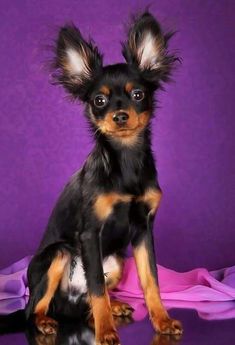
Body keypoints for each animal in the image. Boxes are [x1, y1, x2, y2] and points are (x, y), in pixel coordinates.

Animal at [26, 11, 184, 344]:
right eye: (99, 100)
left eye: (138, 95)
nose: (120, 116)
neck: (126, 159)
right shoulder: (90, 234)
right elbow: (97, 287)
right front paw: (106, 332)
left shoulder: (143, 230)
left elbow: (151, 280)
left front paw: (162, 320)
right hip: (59, 254)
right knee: (37, 306)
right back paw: (47, 321)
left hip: (118, 260)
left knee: (85, 303)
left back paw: (116, 306)